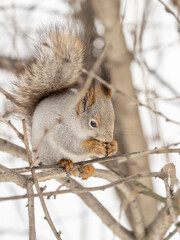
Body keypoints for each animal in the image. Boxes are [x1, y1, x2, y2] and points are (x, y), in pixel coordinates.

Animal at [11, 19, 118, 179]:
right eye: (93, 123)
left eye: (114, 119)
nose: (107, 139)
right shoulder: (63, 129)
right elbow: (72, 145)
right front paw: (94, 146)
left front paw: (113, 146)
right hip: (49, 151)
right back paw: (65, 163)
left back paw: (87, 168)